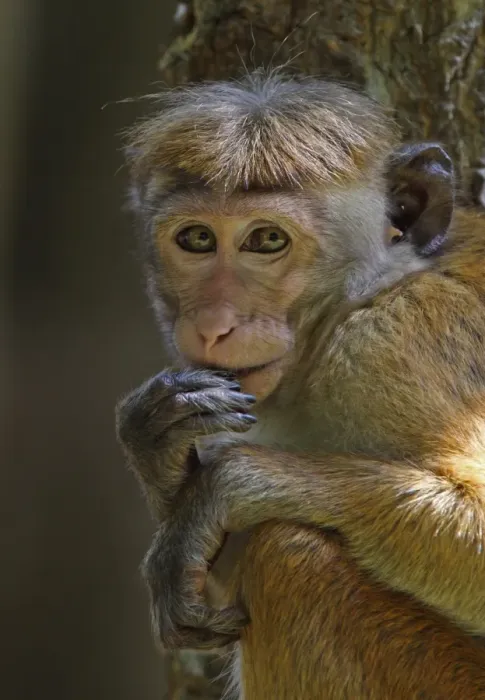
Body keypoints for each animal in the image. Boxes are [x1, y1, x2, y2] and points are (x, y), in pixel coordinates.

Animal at [116, 69, 485, 699]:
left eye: (267, 240)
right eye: (197, 239)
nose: (213, 325)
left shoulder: (397, 344)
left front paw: (223, 488)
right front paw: (157, 442)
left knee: (289, 560)